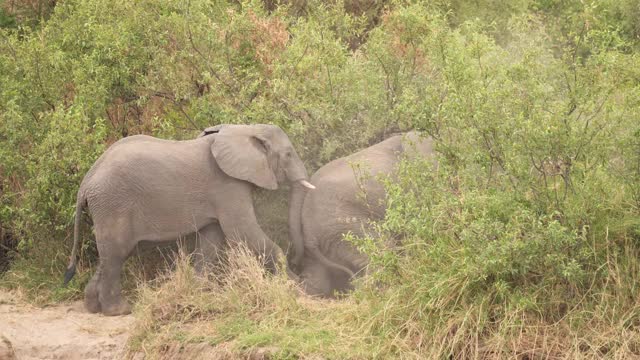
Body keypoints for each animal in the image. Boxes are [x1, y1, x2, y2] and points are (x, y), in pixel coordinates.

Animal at [63, 124, 314, 316]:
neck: (246, 129)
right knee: (117, 253)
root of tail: (86, 181)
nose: (300, 266)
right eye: (288, 154)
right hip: (113, 204)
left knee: (111, 254)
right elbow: (242, 231)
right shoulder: (227, 185)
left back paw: (93, 307)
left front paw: (202, 291)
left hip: (107, 207)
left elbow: (212, 239)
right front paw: (299, 287)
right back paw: (119, 311)